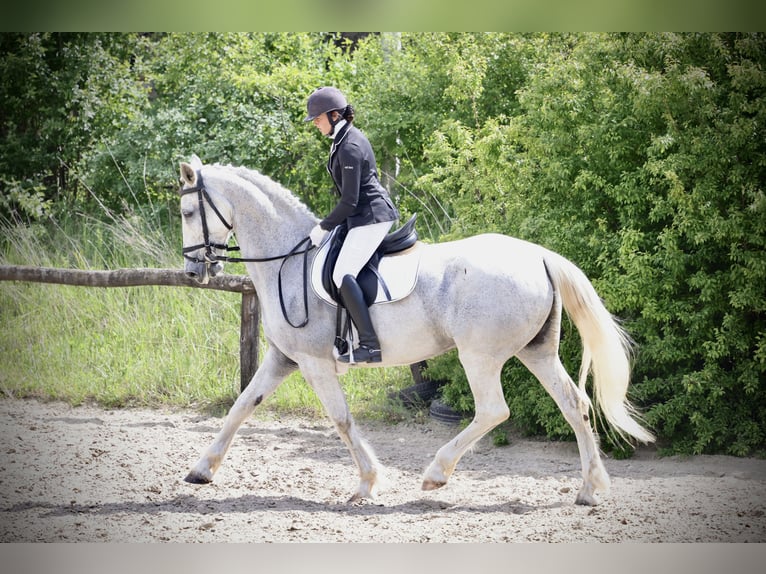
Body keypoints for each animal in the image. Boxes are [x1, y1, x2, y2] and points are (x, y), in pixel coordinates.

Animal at [178, 155, 656, 506]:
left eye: (186, 211)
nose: (194, 272)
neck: (287, 260)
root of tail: (539, 255)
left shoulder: (313, 362)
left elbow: (341, 418)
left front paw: (368, 482)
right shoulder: (284, 358)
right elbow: (242, 405)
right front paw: (201, 470)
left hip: (479, 355)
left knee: (493, 411)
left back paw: (435, 475)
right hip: (537, 351)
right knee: (574, 404)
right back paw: (590, 489)